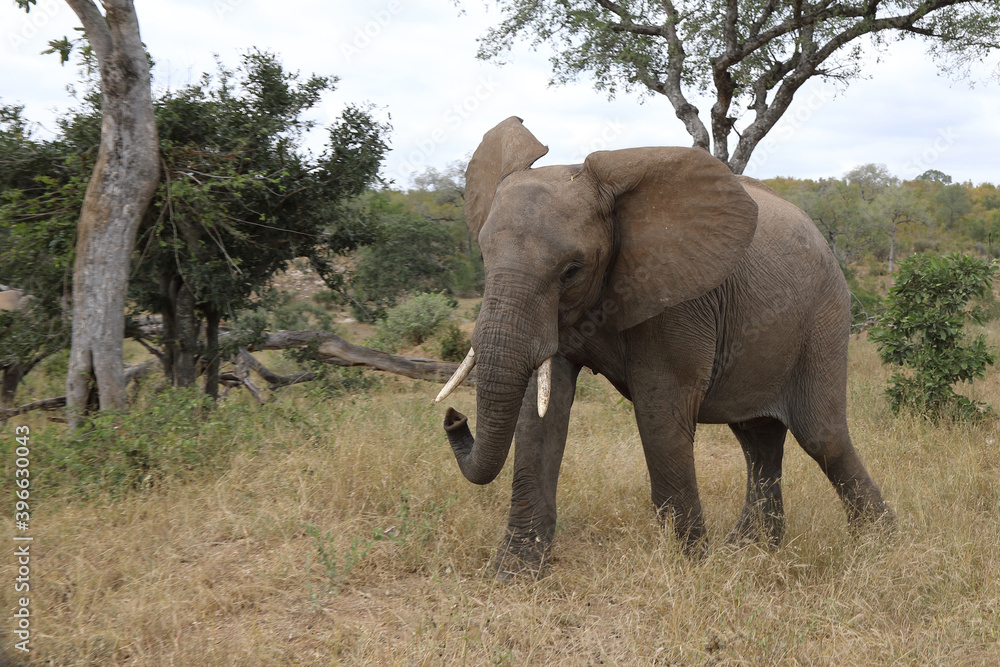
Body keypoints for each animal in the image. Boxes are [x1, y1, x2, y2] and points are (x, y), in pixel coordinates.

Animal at [438, 116, 892, 576]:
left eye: (571, 270)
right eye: (482, 256)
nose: (454, 418)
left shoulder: (679, 298)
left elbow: (660, 407)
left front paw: (690, 570)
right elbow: (541, 413)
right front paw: (513, 573)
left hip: (824, 315)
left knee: (822, 437)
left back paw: (879, 547)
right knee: (758, 439)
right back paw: (751, 550)